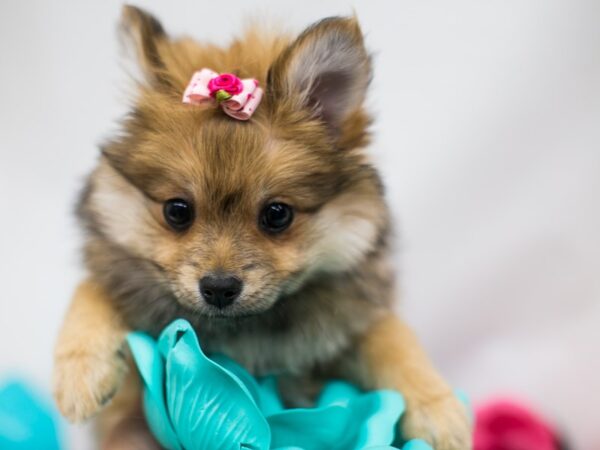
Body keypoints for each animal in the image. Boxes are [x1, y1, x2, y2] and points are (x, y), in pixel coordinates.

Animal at [51, 4, 472, 450]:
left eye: (277, 214)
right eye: (178, 211)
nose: (219, 288)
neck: (245, 331)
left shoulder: (352, 316)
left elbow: (393, 338)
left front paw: (440, 410)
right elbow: (92, 289)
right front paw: (79, 372)